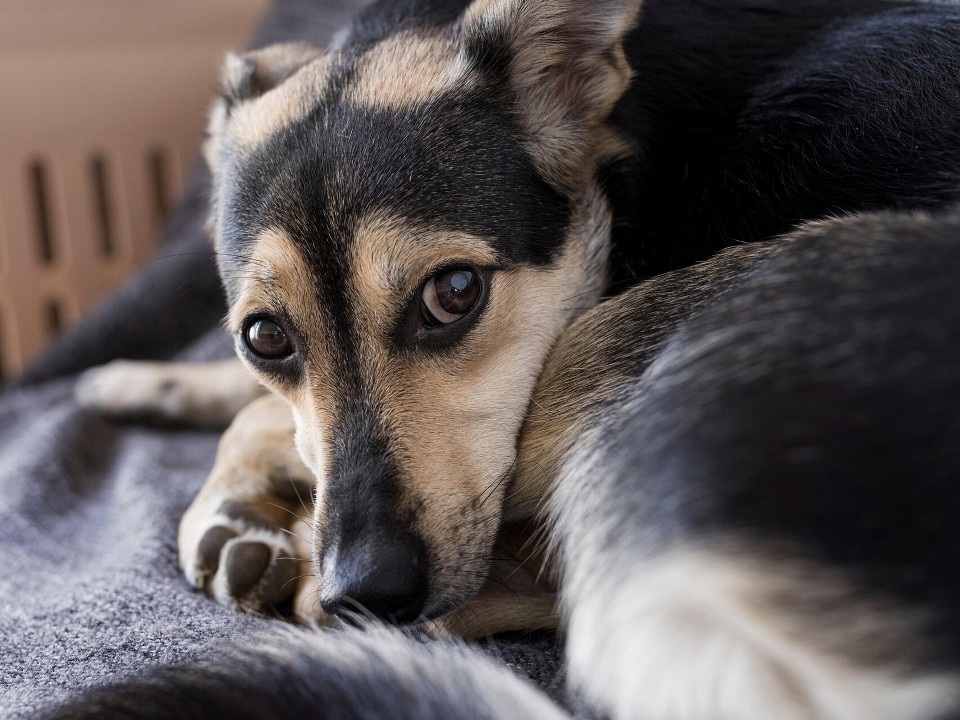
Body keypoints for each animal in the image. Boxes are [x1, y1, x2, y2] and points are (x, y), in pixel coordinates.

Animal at [71, 0, 960, 716]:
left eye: (455, 291)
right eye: (265, 337)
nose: (367, 591)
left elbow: (262, 417)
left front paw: (232, 496)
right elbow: (260, 402)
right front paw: (147, 383)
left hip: (653, 326)